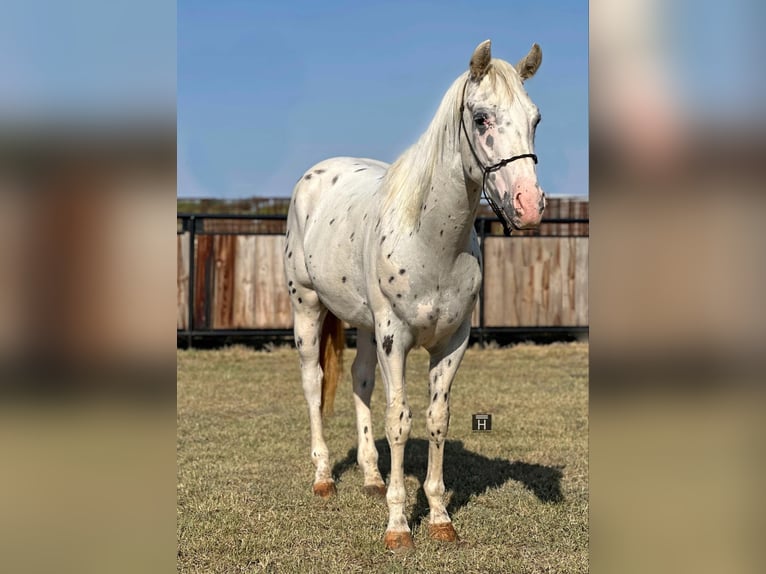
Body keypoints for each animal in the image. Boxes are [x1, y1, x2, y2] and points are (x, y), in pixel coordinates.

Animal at [283, 39, 545, 550]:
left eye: (535, 119)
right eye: (481, 118)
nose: (528, 205)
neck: (430, 240)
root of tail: (315, 176)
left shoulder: (453, 342)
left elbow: (437, 417)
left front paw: (440, 518)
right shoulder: (395, 338)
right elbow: (399, 420)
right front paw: (399, 525)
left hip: (364, 326)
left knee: (361, 382)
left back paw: (370, 477)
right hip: (307, 307)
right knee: (312, 382)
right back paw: (323, 477)